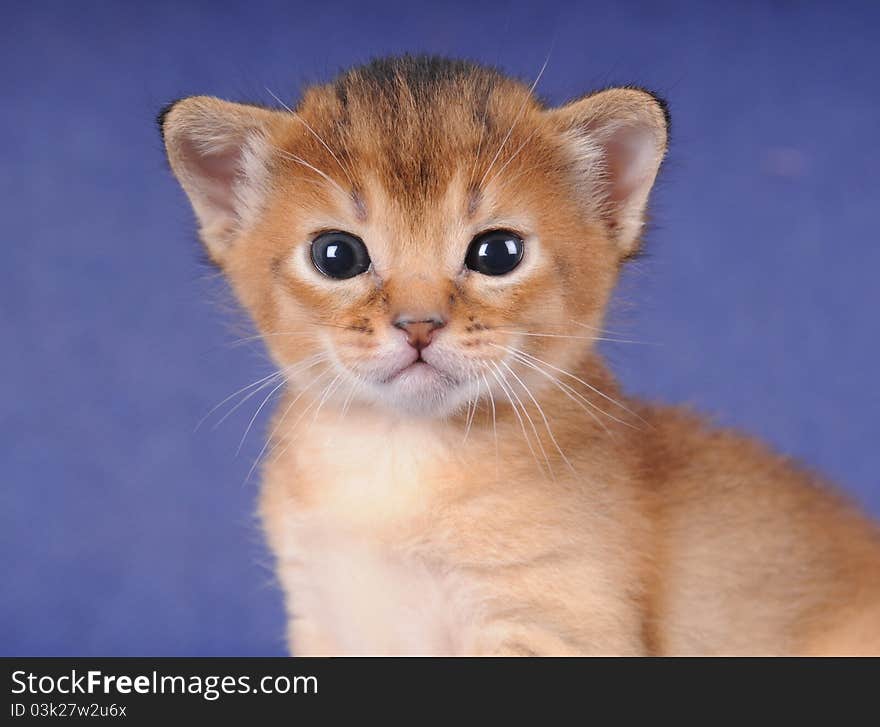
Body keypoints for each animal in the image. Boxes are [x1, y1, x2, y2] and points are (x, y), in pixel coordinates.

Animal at [162, 52, 880, 656]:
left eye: (498, 253)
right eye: (336, 255)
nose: (418, 325)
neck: (399, 464)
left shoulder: (557, 625)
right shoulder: (322, 615)